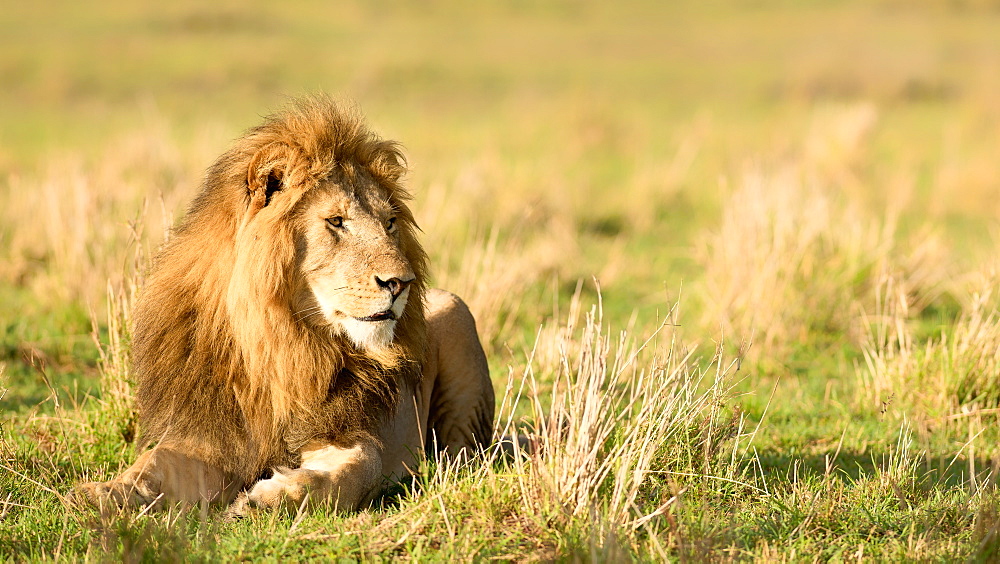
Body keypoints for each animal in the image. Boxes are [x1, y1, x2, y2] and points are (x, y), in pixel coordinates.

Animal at [72, 97, 494, 516]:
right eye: (336, 221)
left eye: (390, 223)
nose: (401, 282)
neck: (279, 341)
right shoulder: (209, 438)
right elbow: (151, 465)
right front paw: (102, 493)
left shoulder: (347, 432)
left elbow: (352, 472)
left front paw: (267, 498)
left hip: (456, 313)